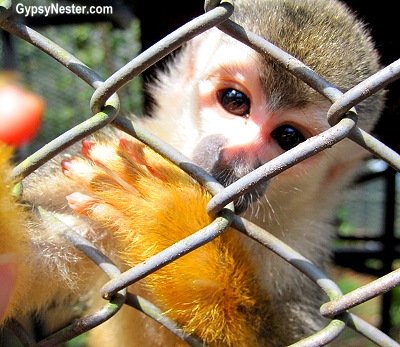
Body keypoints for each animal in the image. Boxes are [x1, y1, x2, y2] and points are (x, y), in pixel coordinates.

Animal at [0, 0, 388, 346]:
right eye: (235, 100)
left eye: (289, 137)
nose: (235, 159)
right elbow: (25, 260)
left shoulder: (306, 242)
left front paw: (166, 223)